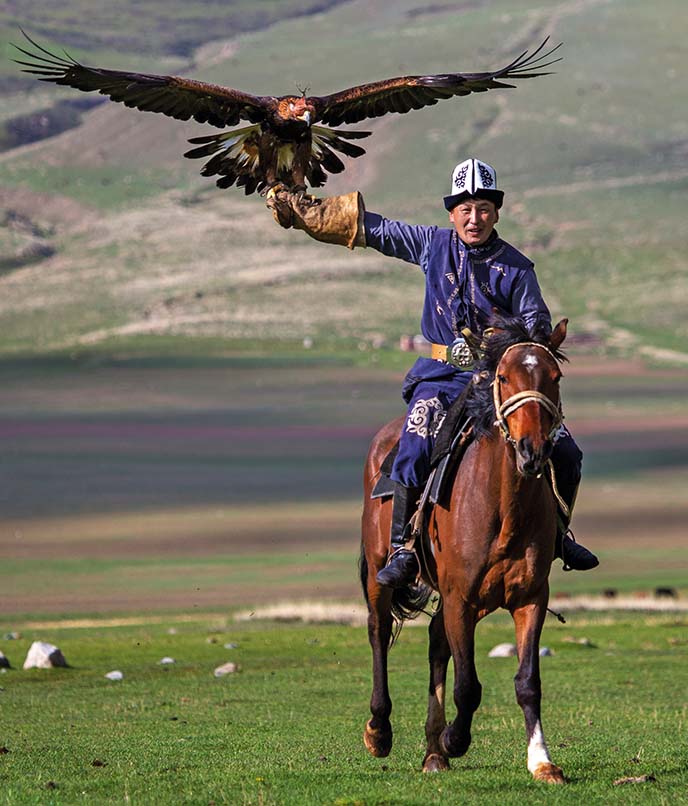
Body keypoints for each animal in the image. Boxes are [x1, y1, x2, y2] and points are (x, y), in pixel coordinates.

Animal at [359, 316, 569, 783]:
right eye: (503, 377)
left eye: (555, 377)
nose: (533, 451)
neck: (504, 509)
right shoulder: (461, 600)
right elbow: (468, 686)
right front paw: (457, 739)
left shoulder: (530, 599)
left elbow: (528, 683)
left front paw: (542, 761)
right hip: (381, 573)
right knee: (379, 631)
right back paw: (380, 731)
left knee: (436, 643)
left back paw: (433, 752)